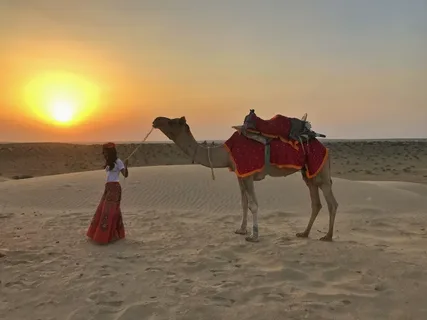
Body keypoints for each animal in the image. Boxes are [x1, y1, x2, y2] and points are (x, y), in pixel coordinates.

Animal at [152, 116, 340, 241]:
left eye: (173, 121)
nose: (156, 120)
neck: (226, 153)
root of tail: (325, 149)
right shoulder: (239, 175)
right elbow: (243, 203)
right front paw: (241, 230)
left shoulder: (248, 174)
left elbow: (253, 204)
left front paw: (253, 235)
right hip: (308, 173)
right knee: (316, 202)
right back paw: (304, 233)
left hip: (321, 171)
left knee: (332, 202)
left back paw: (328, 236)